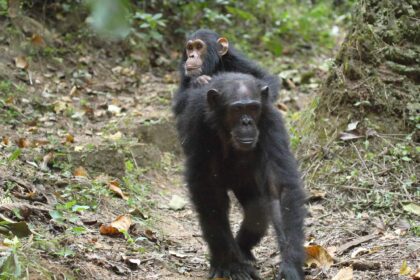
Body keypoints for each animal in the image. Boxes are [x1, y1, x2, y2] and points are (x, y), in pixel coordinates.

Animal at [173, 72, 306, 280]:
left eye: (253, 108)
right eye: (236, 109)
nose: (246, 122)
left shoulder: (272, 122)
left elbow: (278, 189)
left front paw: (290, 265)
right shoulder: (198, 124)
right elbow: (207, 189)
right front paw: (231, 265)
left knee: (257, 210)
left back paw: (242, 249)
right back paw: (223, 259)